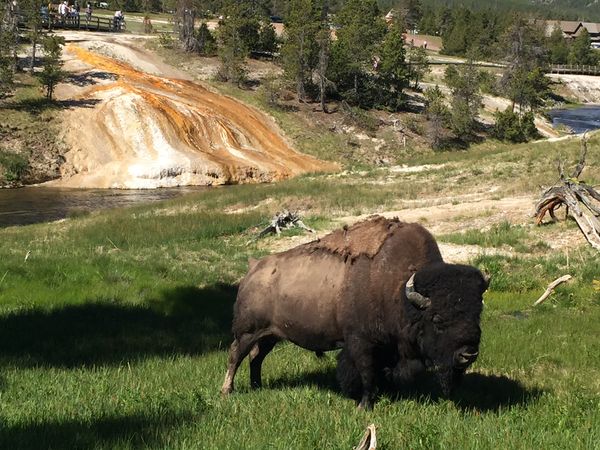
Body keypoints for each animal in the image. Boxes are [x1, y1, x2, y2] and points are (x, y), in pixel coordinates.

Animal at [220, 216, 488, 410]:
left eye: (477, 315)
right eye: (437, 320)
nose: (468, 354)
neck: (398, 289)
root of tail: (253, 268)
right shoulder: (361, 343)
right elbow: (366, 373)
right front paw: (364, 405)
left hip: (271, 336)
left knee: (255, 357)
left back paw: (256, 385)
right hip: (247, 333)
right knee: (235, 356)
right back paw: (227, 391)